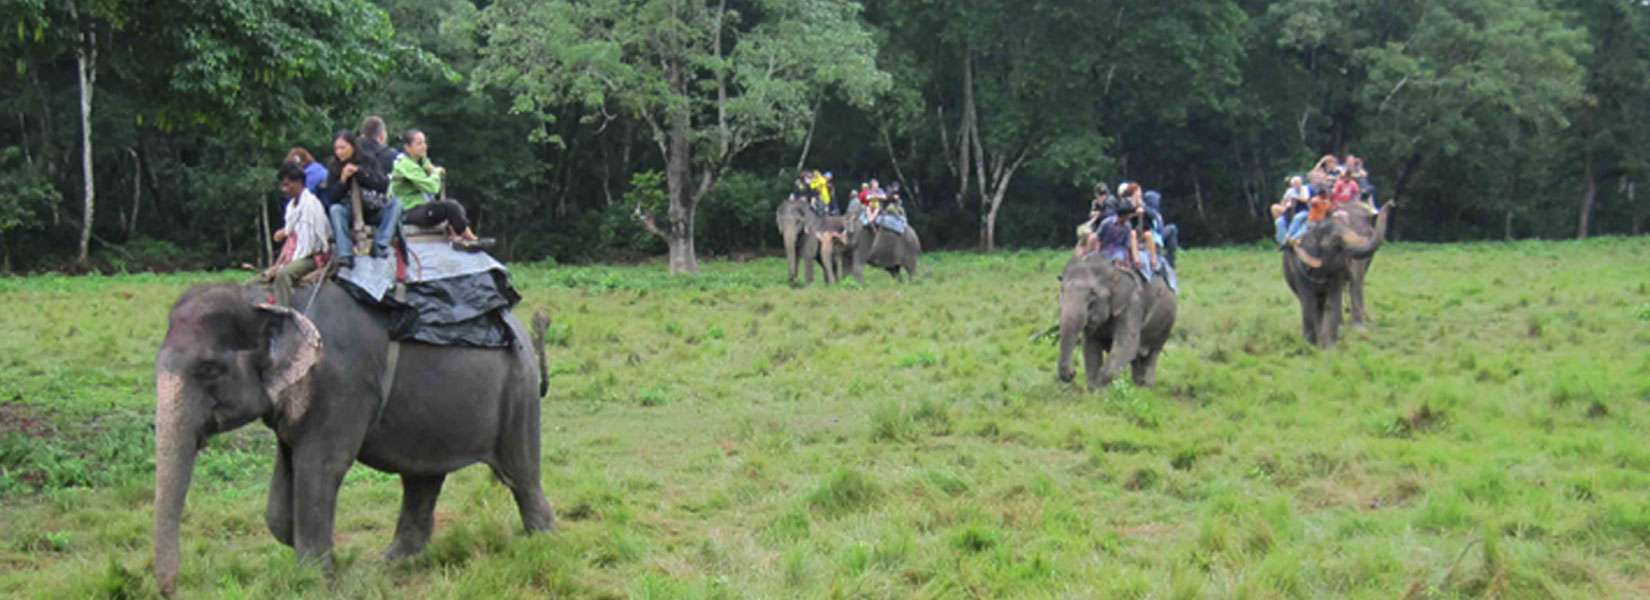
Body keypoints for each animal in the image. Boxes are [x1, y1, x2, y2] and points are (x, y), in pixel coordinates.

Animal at [155, 281, 554, 596]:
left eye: (209, 369)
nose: (170, 590)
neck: (269, 299)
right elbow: (280, 497)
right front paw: (320, 558)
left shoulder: (342, 385)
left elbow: (321, 468)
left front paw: (314, 581)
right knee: (422, 478)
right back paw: (389, 564)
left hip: (518, 393)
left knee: (521, 475)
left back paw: (542, 545)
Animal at [1056, 253, 1174, 389]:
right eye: (1061, 290)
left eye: (1093, 293)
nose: (1072, 373)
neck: (1113, 271)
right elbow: (1090, 347)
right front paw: (1094, 389)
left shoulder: (1132, 305)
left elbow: (1126, 345)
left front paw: (1099, 387)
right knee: (1137, 356)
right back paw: (1138, 385)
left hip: (1166, 324)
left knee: (1153, 353)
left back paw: (1147, 387)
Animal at [1273, 203, 1392, 346]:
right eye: (1335, 240)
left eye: (1369, 233)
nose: (1391, 204)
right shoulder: (1300, 269)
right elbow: (1308, 301)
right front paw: (1311, 345)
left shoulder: (1338, 271)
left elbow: (1332, 301)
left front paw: (1330, 345)